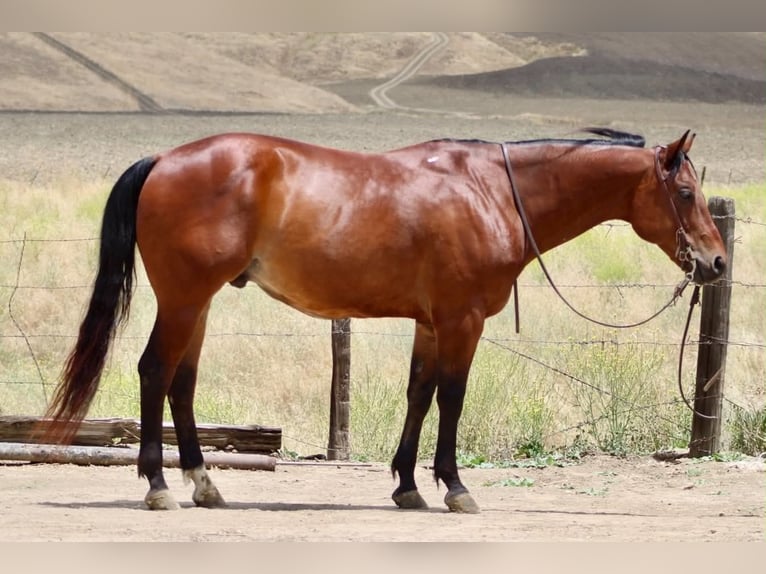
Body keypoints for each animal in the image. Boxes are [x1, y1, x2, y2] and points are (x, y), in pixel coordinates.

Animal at [43, 128, 727, 513]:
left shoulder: (432, 323)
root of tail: (164, 159)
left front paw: (407, 487)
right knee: (155, 372)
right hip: (185, 299)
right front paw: (453, 486)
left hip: (199, 303)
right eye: (684, 193)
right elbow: (451, 398)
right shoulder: (462, 320)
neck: (493, 192)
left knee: (181, 384)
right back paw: (160, 486)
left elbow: (418, 395)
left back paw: (204, 485)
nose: (716, 262)